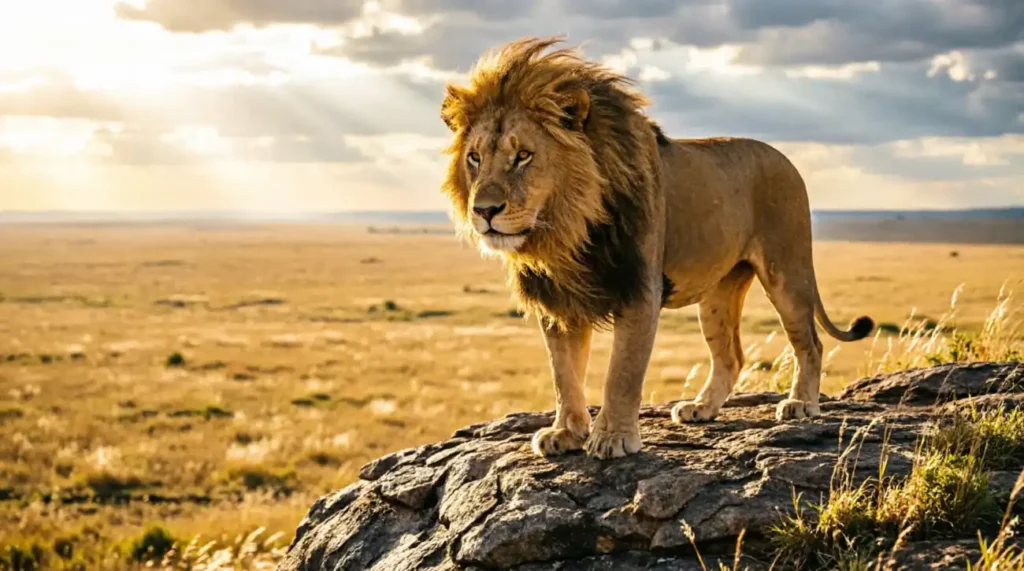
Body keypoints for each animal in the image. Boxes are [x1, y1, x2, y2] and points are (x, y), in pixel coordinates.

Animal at [438, 37, 874, 460]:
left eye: (523, 156)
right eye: (474, 158)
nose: (484, 211)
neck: (566, 231)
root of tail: (787, 158)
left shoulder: (639, 289)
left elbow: (622, 373)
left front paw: (613, 438)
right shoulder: (558, 299)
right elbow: (563, 373)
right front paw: (566, 432)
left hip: (787, 270)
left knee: (810, 343)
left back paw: (801, 404)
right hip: (717, 295)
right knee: (731, 357)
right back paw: (701, 408)